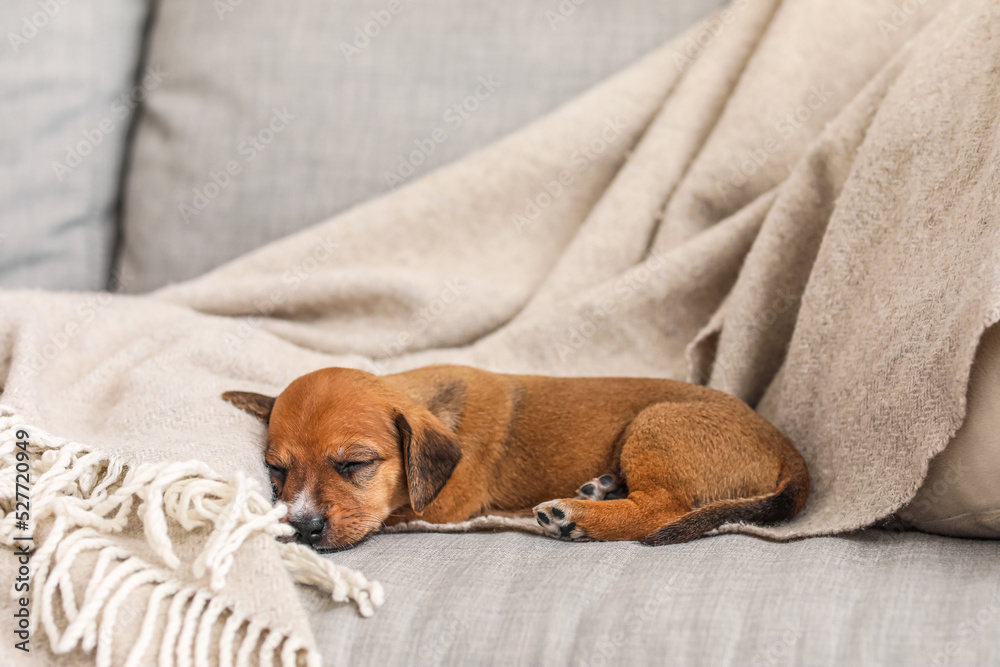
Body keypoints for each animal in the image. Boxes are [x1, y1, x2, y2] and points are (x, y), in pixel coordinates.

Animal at [223, 368, 808, 552]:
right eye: (277, 470)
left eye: (354, 465)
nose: (302, 528)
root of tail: (787, 448)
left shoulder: (444, 505)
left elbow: (394, 510)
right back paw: (598, 491)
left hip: (656, 426)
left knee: (660, 508)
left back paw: (576, 515)